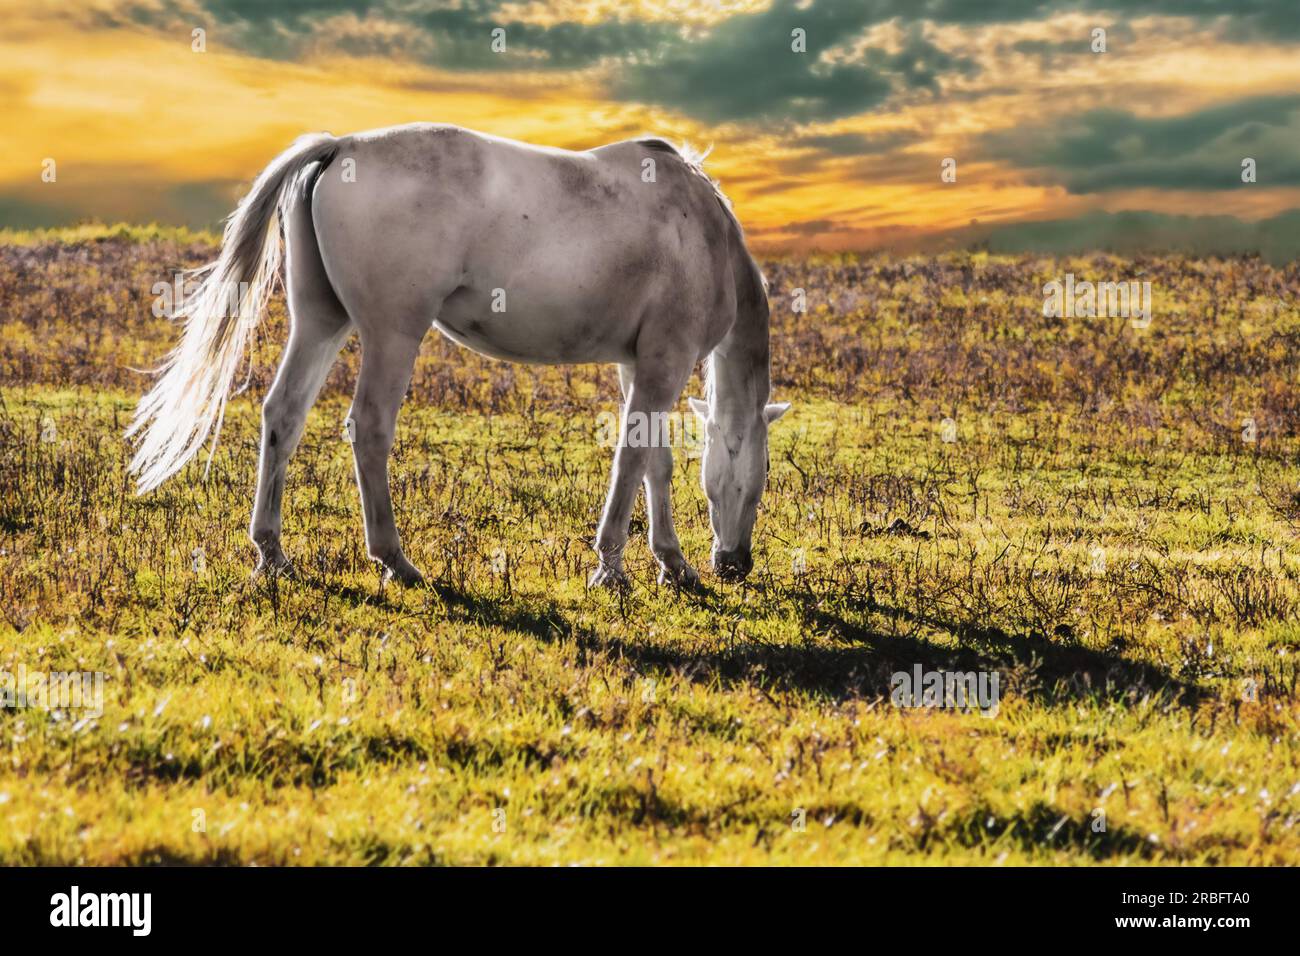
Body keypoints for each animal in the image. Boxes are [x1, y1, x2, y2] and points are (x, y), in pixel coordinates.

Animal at [126, 123, 785, 587]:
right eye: (757, 485)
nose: (736, 563)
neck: (703, 233)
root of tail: (341, 149)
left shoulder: (638, 366)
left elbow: (655, 462)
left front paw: (672, 563)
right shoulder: (663, 363)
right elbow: (634, 460)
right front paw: (613, 568)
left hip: (320, 323)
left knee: (282, 417)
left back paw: (272, 553)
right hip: (393, 335)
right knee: (369, 429)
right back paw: (394, 559)